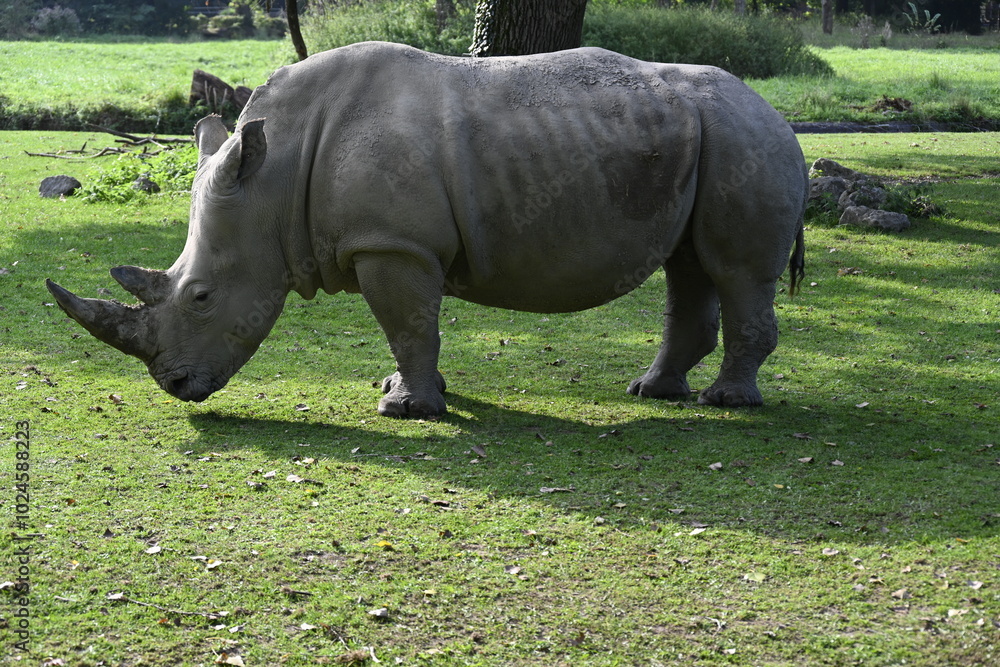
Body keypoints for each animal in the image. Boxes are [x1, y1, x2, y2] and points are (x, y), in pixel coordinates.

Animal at [47, 41, 807, 419]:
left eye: (201, 297)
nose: (175, 386)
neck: (275, 177)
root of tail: (777, 113)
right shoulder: (392, 243)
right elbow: (411, 328)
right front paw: (401, 390)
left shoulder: (392, 243)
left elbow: (409, 323)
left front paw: (408, 410)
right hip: (711, 138)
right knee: (689, 265)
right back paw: (653, 392)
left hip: (746, 138)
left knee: (735, 271)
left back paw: (728, 403)